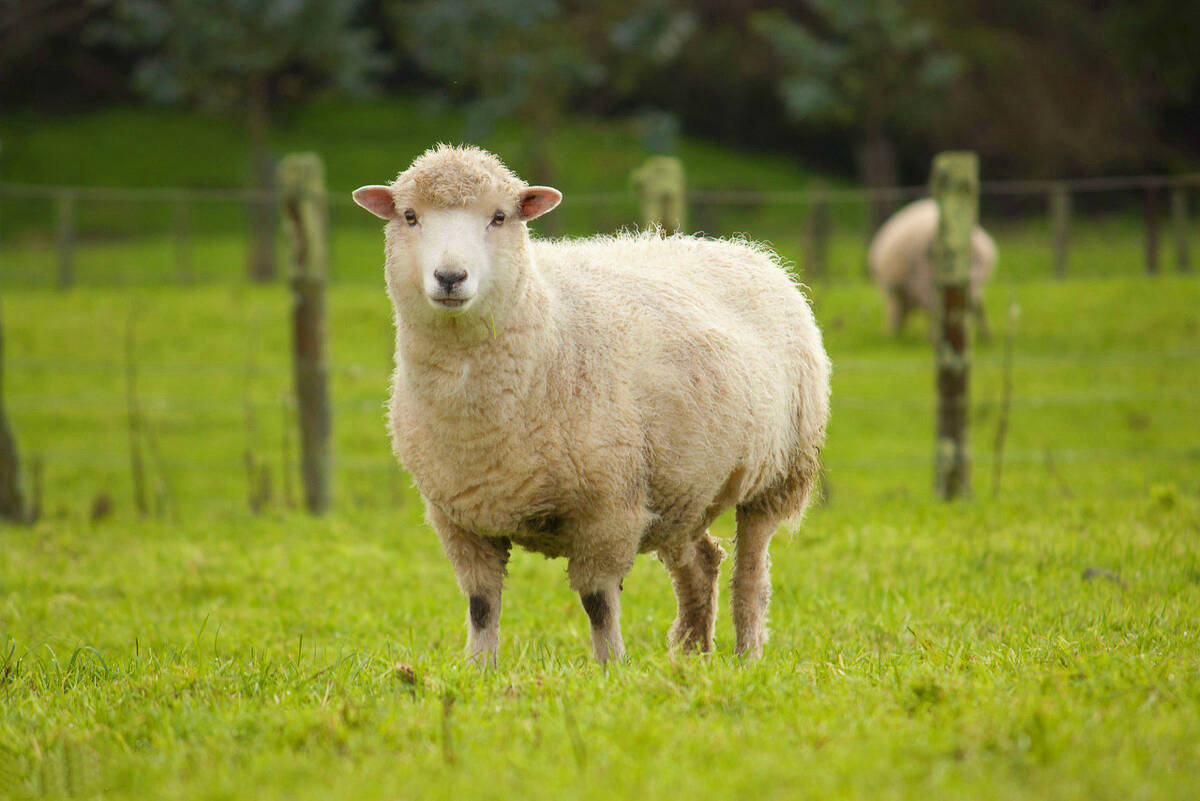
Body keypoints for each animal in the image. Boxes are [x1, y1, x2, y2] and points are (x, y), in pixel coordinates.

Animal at [350, 143, 830, 661]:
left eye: (499, 217)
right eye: (410, 216)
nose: (450, 276)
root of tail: (743, 249)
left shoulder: (609, 510)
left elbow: (598, 603)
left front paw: (611, 667)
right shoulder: (461, 519)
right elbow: (481, 605)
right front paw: (479, 667)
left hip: (778, 473)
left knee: (752, 574)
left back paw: (747, 656)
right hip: (680, 488)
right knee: (702, 563)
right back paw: (692, 655)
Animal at [868, 200, 998, 340]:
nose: (890, 334)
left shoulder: (898, 290)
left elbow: (896, 311)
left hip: (927, 280)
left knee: (942, 310)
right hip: (972, 282)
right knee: (970, 308)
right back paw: (981, 336)